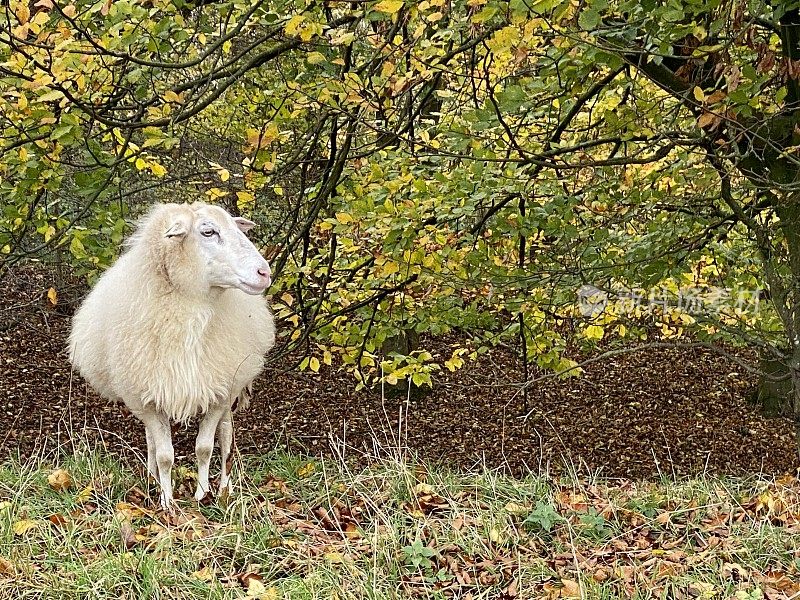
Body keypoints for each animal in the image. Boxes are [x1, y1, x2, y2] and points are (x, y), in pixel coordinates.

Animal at [69, 203, 276, 510]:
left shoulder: (217, 391)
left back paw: (225, 488)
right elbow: (165, 454)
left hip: (232, 383)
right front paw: (167, 500)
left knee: (226, 436)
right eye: (208, 231)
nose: (264, 272)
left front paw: (202, 493)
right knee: (152, 442)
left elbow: (205, 447)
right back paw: (152, 479)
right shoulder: (147, 397)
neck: (191, 308)